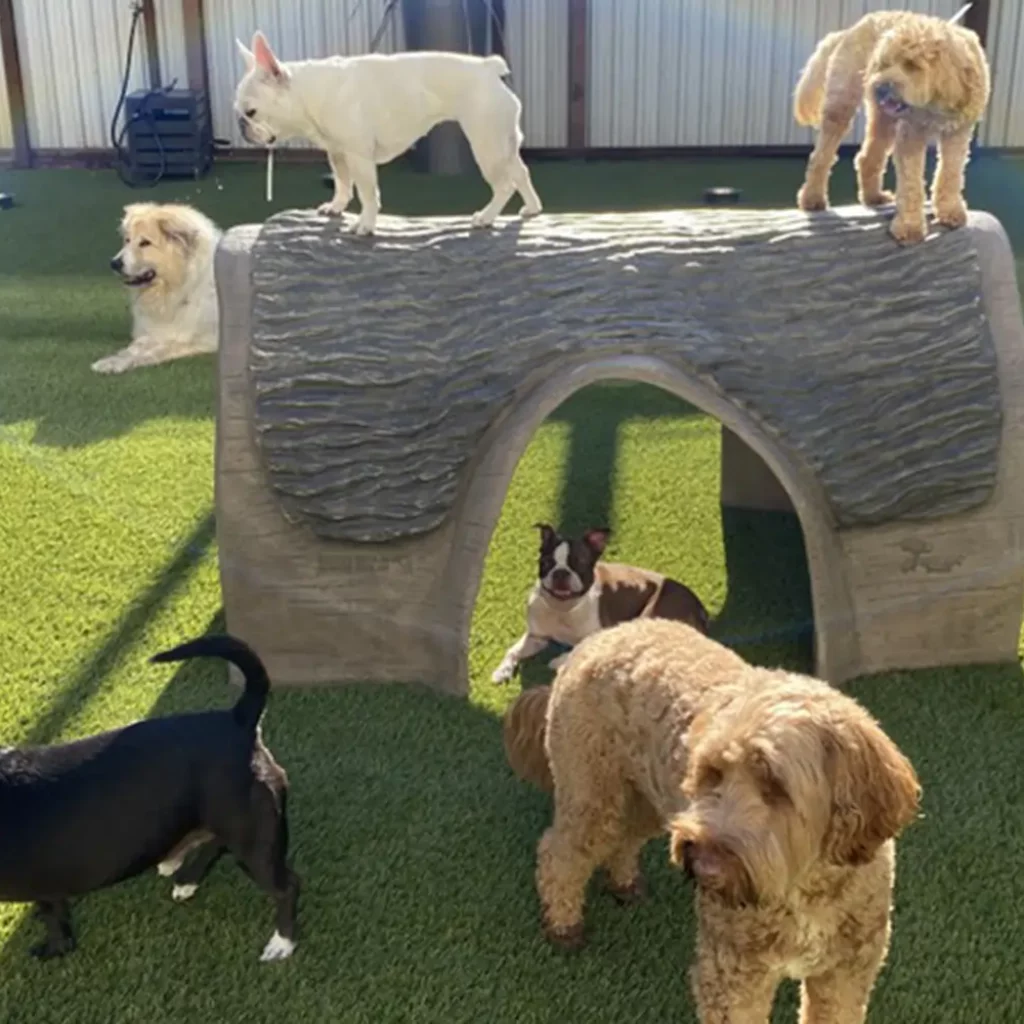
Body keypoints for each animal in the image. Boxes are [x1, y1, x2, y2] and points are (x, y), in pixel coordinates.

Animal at [0, 634, 296, 962]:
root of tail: (239, 720)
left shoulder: (45, 891)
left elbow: (55, 924)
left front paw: (51, 950)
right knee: (215, 843)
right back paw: (185, 879)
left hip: (254, 845)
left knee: (287, 887)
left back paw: (283, 942)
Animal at [93, 201, 221, 374]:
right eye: (127, 240)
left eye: (145, 243)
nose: (114, 263)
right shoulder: (153, 332)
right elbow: (134, 348)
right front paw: (112, 360)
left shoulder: (199, 340)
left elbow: (159, 349)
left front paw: (125, 363)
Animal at [794, 9, 987, 243]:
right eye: (884, 63)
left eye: (912, 64)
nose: (879, 86)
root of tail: (848, 31)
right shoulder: (911, 135)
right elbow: (911, 183)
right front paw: (910, 227)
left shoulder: (957, 134)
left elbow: (950, 174)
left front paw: (950, 211)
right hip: (841, 106)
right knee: (821, 157)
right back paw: (812, 198)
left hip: (883, 120)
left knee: (868, 158)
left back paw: (873, 197)